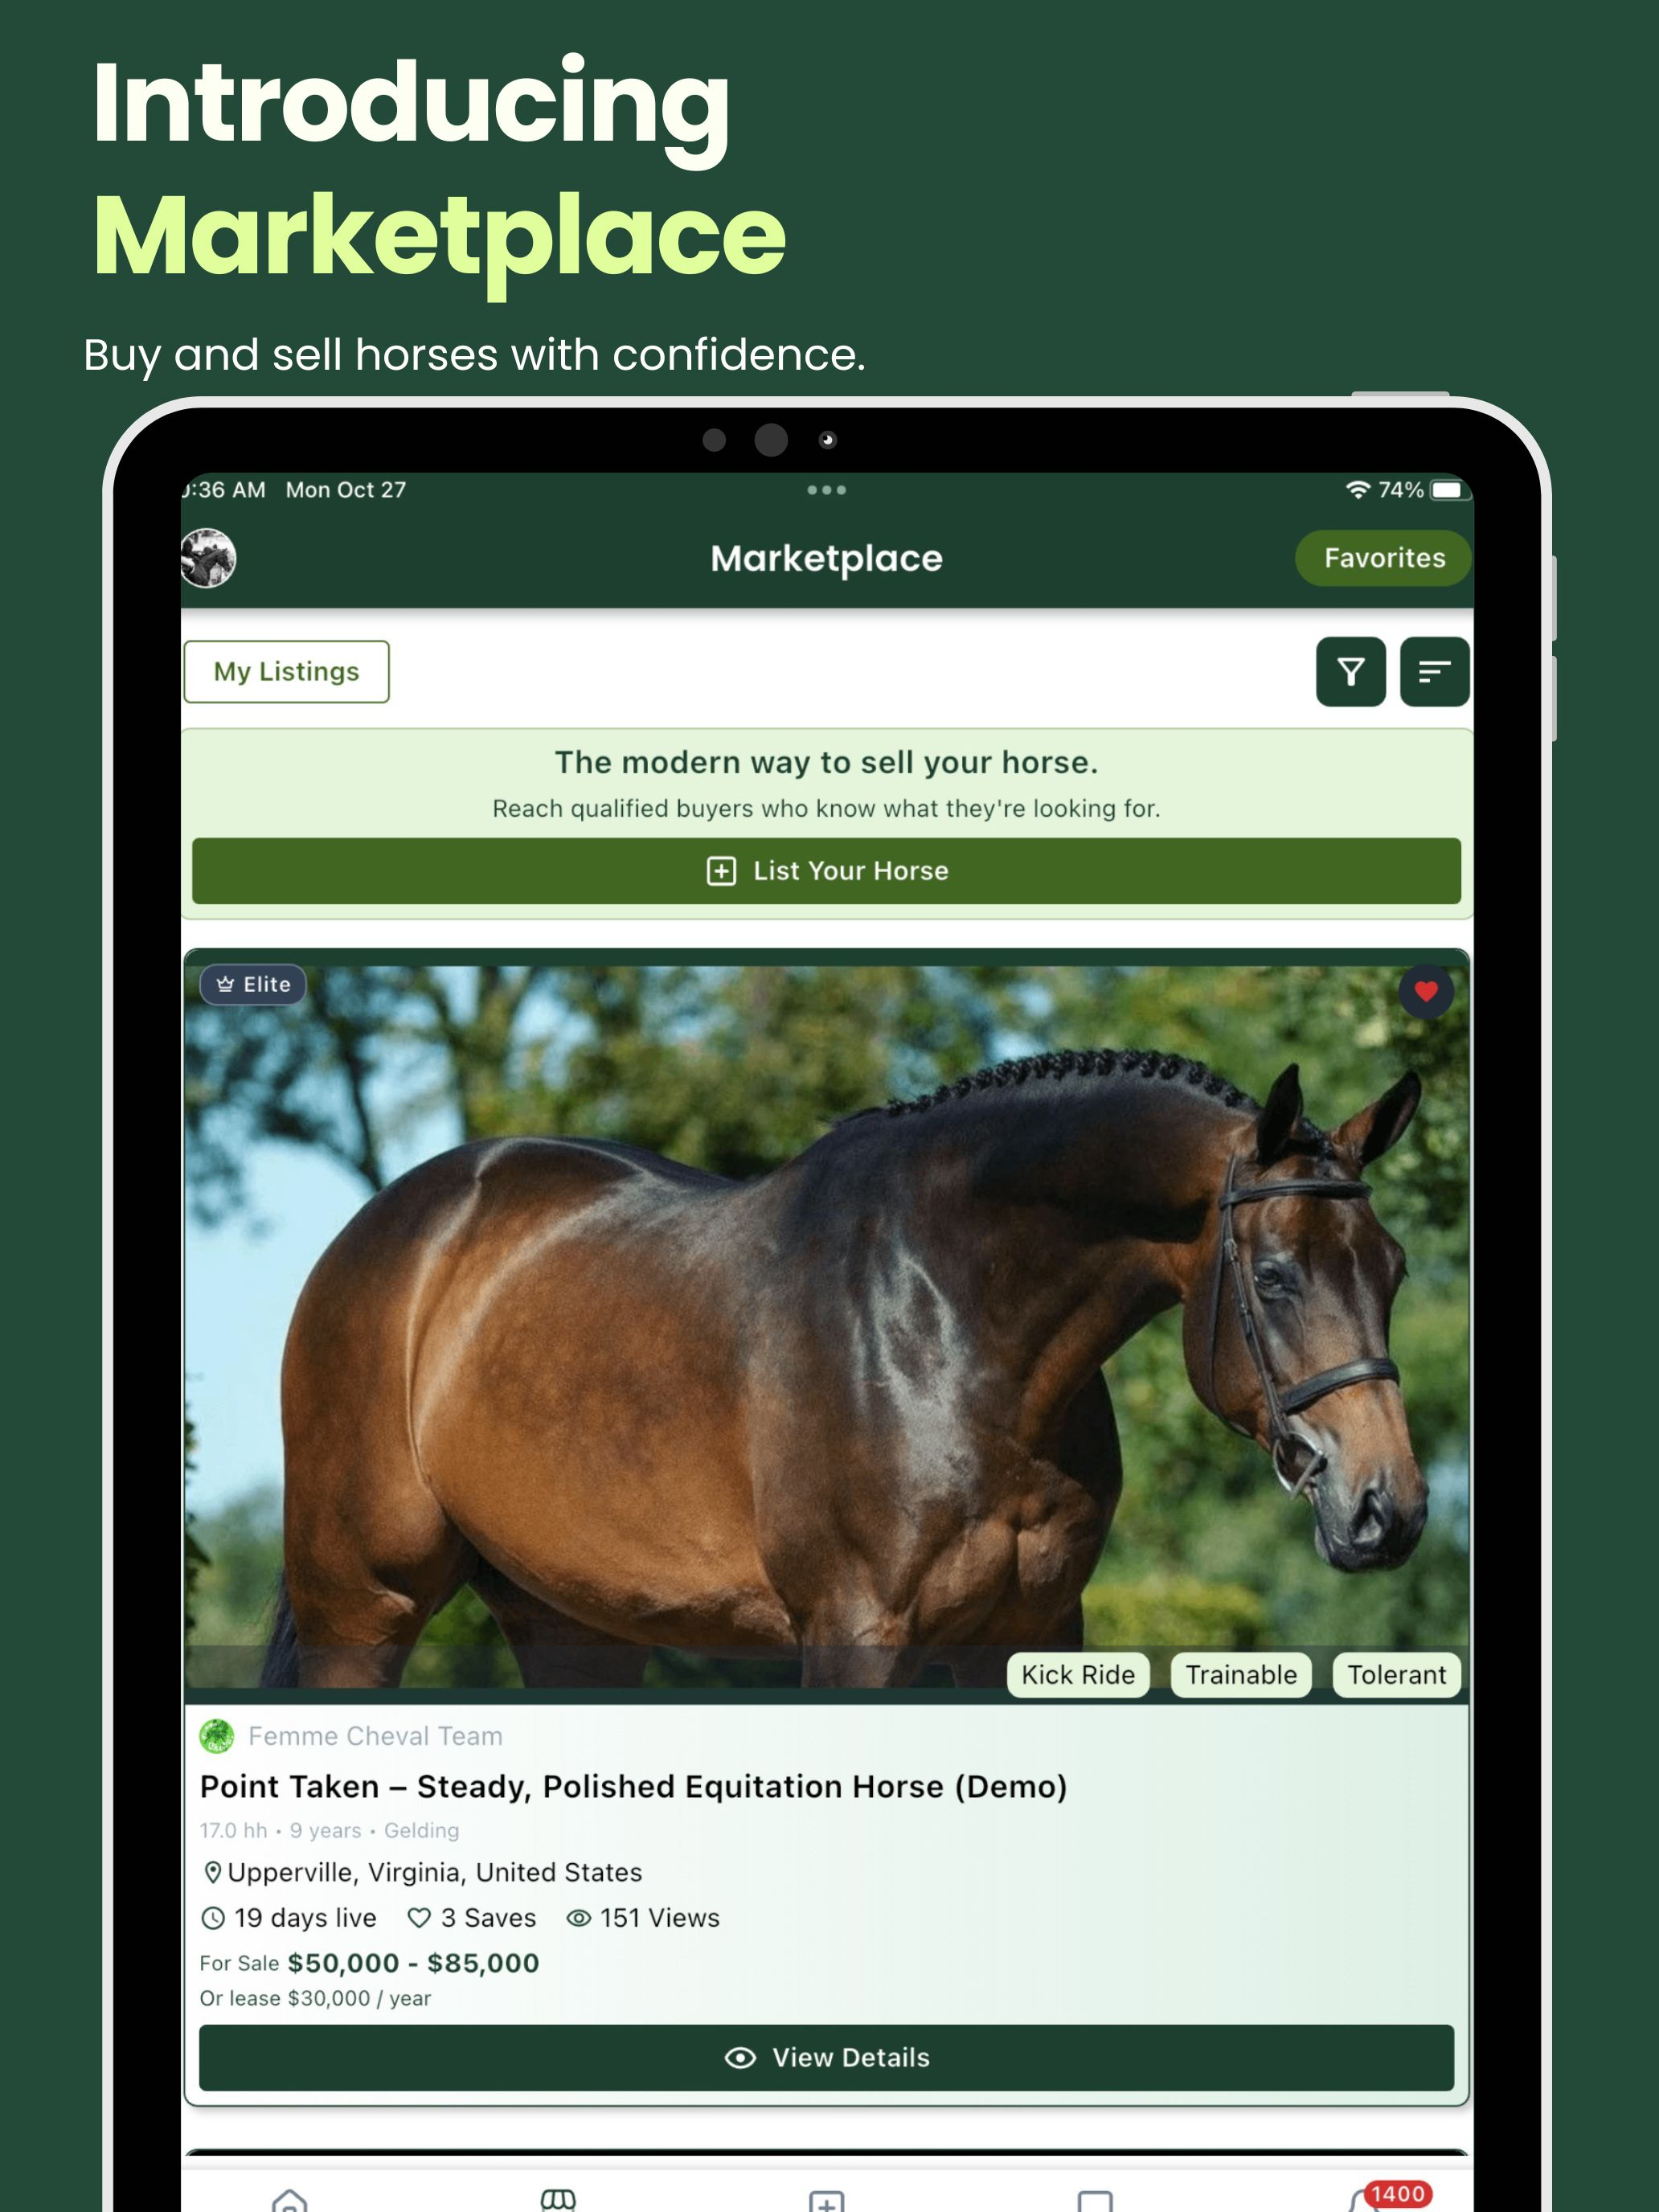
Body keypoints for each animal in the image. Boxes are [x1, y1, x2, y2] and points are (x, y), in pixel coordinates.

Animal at [261, 1049, 1431, 1691]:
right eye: (1275, 1276)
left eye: (1394, 1267)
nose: (1389, 1509)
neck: (955, 1326)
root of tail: (397, 1224)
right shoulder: (857, 1632)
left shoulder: (1030, 1632)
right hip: (359, 1606)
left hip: (575, 1623)